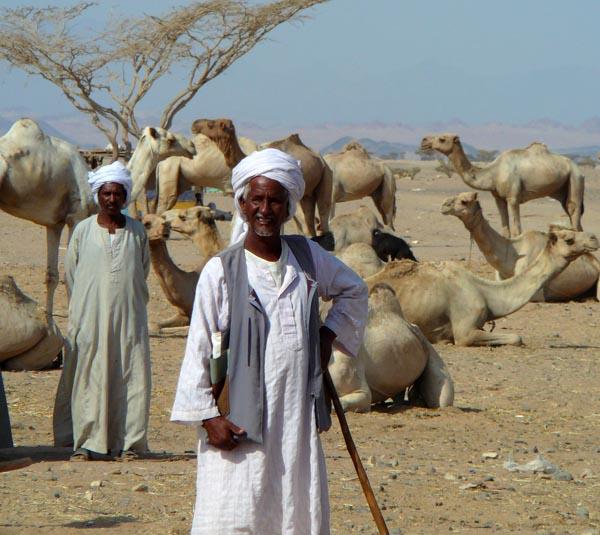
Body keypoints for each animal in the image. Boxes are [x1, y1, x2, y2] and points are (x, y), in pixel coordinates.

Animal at [420, 133, 584, 237]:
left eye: (442, 139)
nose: (424, 141)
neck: (494, 172)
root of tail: (578, 168)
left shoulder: (513, 197)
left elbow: (517, 230)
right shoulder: (498, 198)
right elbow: (505, 230)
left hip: (575, 178)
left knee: (573, 209)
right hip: (563, 189)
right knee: (573, 215)